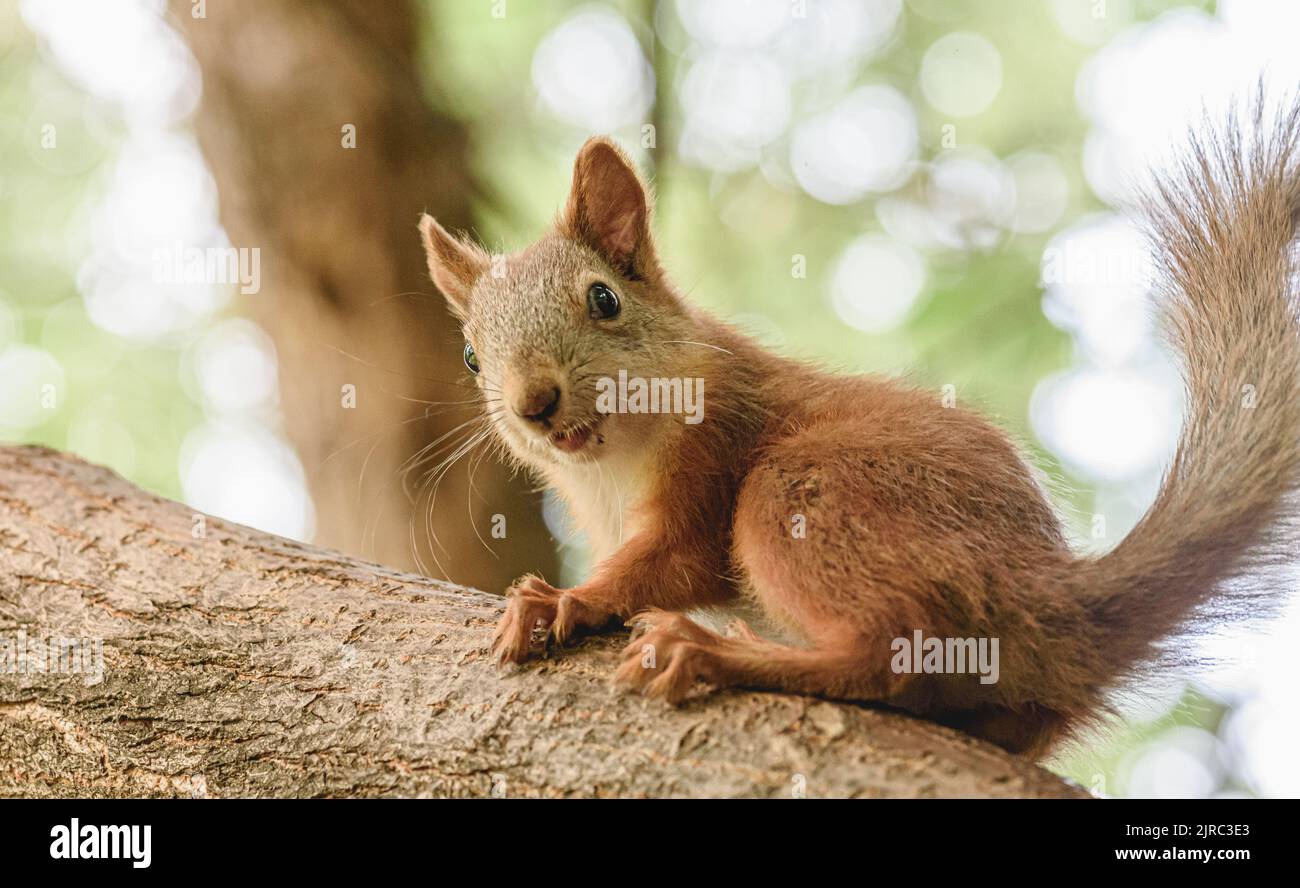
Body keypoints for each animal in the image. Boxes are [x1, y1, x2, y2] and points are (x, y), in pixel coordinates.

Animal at [418, 98, 1300, 764]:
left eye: (603, 299)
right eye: (469, 355)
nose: (533, 402)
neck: (612, 465)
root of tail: (1051, 599)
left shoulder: (714, 459)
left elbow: (667, 562)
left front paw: (565, 598)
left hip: (801, 494)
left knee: (891, 655)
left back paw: (714, 652)